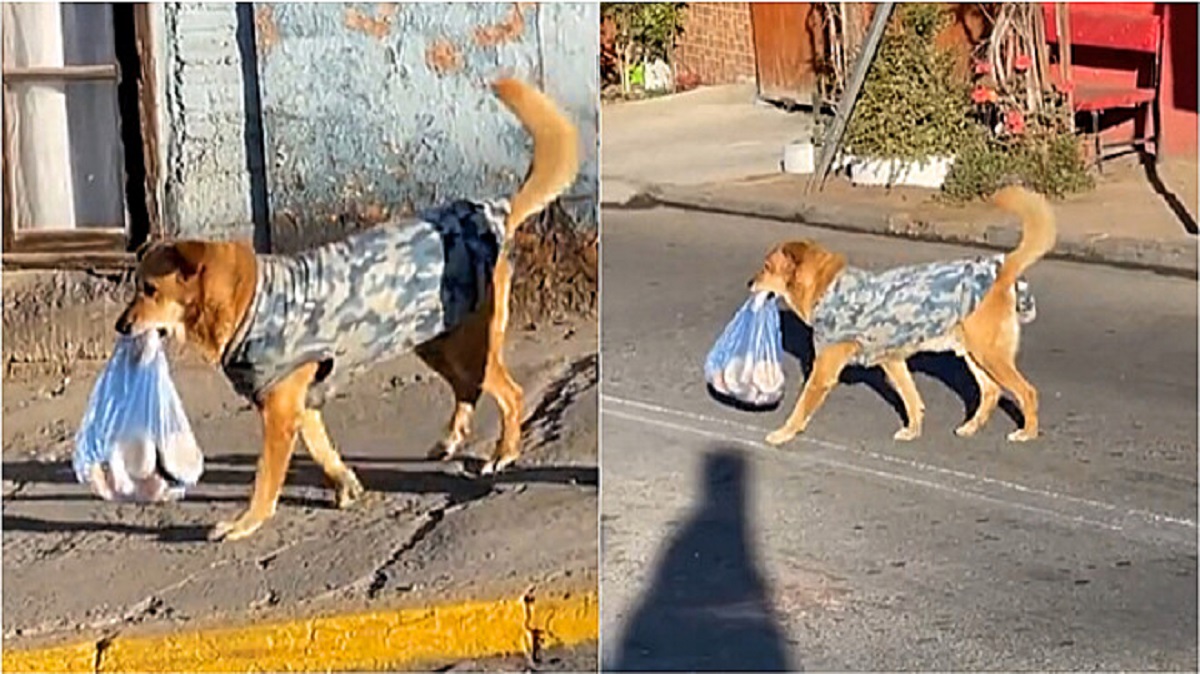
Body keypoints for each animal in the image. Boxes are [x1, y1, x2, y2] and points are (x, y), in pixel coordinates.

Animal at [115, 79, 580, 539]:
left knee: (508, 393)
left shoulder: (280, 413)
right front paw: (345, 485)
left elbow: (266, 479)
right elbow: (324, 452)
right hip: (433, 341)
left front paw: (244, 523)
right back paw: (452, 439)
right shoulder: (301, 406)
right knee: (468, 388)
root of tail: (496, 215)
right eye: (138, 287)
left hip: (465, 345)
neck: (246, 298)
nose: (121, 326)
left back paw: (504, 452)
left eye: (150, 289)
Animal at [753, 185, 1056, 443]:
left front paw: (783, 433)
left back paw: (1027, 432)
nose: (749, 283)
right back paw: (970, 427)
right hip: (972, 352)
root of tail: (1001, 270)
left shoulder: (824, 371)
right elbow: (912, 399)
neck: (826, 288)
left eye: (767, 267)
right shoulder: (893, 361)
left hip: (990, 354)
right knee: (991, 391)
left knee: (1027, 392)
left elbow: (802, 405)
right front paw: (913, 430)